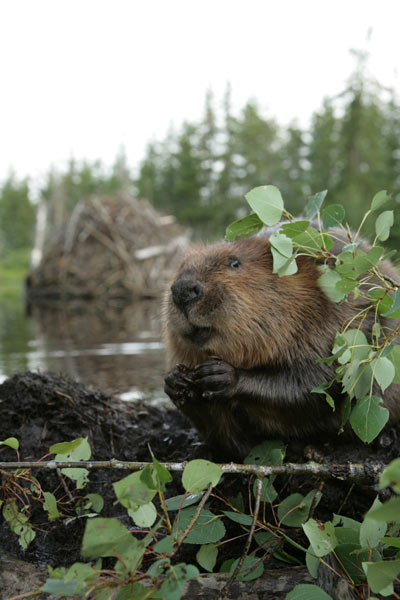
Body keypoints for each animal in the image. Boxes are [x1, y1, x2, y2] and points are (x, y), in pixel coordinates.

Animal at [162, 230, 400, 460]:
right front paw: (176, 382)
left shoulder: (335, 322)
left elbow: (316, 382)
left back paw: (383, 440)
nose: (183, 290)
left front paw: (221, 376)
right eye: (181, 266)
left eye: (235, 263)